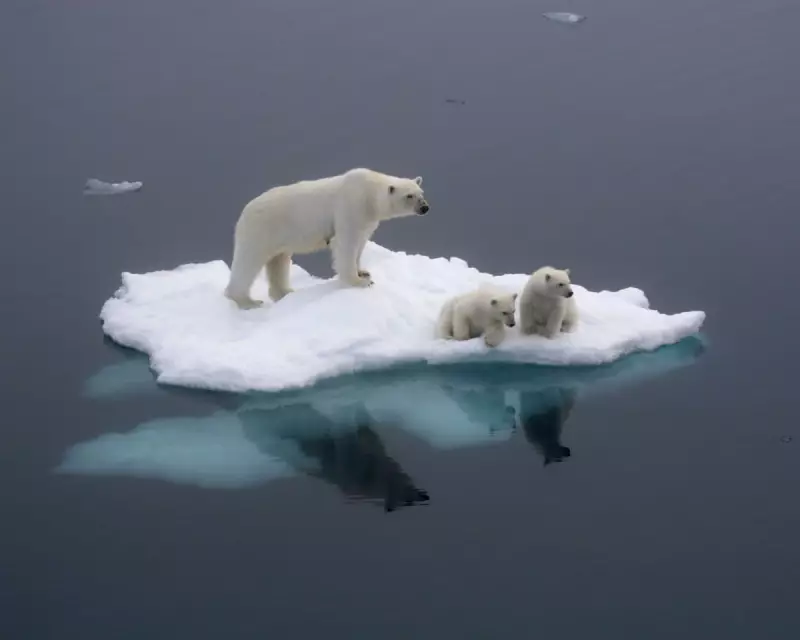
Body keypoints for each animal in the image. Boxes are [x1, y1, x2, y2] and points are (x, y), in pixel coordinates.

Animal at [224, 168, 430, 309]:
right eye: (409, 196)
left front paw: (364, 272)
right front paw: (360, 281)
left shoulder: (367, 219)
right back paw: (248, 301)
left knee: (278, 261)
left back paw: (286, 292)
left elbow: (360, 242)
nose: (425, 208)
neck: (369, 193)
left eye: (421, 193)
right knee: (249, 261)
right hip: (261, 230)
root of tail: (244, 212)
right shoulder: (351, 207)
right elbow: (346, 243)